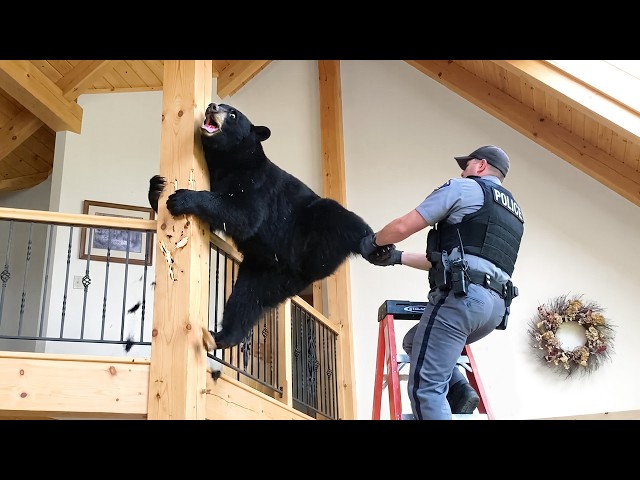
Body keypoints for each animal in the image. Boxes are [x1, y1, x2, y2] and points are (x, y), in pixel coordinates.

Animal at [148, 102, 373, 350]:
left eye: (233, 114)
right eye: (220, 105)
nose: (212, 106)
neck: (228, 160)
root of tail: (309, 270)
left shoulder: (256, 182)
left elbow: (244, 214)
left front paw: (182, 198)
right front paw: (157, 187)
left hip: (314, 222)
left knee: (342, 218)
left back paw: (375, 246)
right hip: (266, 272)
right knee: (246, 299)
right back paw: (222, 336)